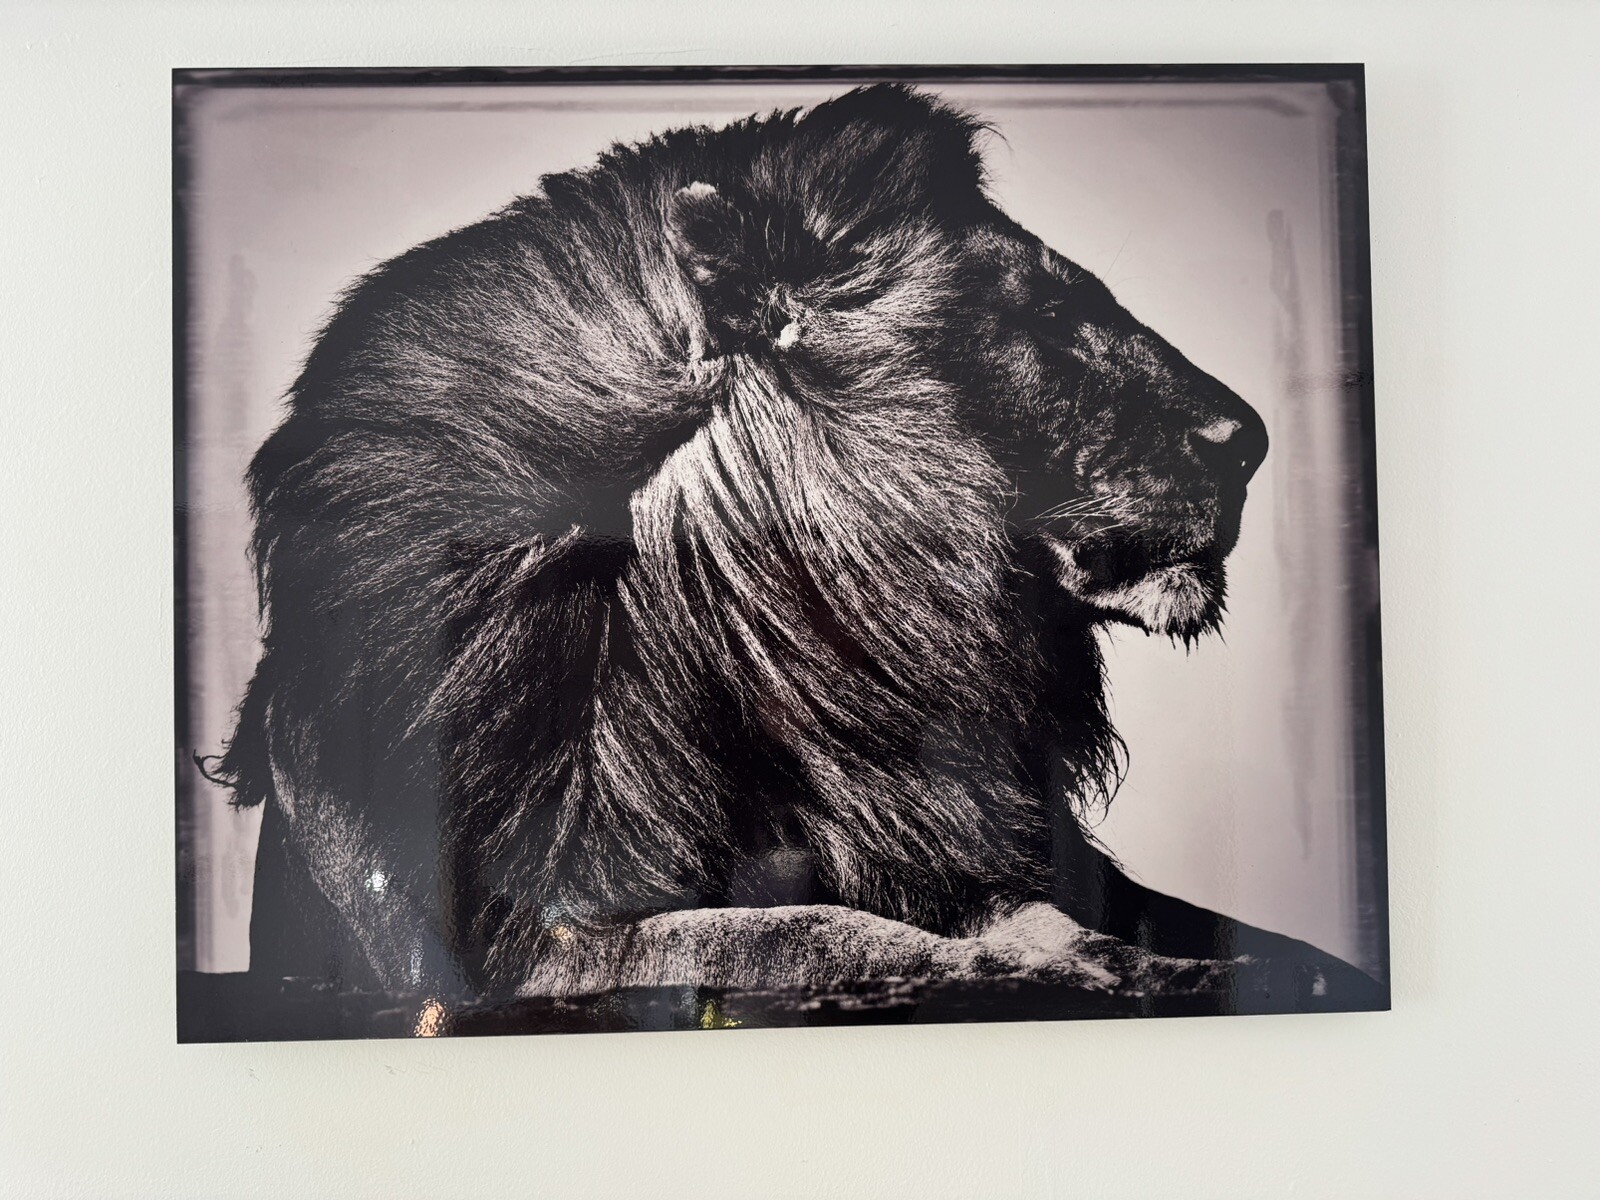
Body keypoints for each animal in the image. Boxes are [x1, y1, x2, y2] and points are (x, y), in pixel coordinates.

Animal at [205, 83, 1381, 1022]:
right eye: (1044, 313)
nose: (1251, 439)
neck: (800, 660)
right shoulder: (518, 954)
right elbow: (821, 932)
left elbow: (1063, 914)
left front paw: (1205, 965)